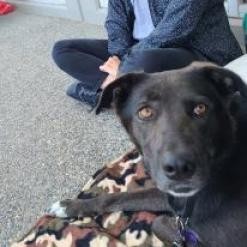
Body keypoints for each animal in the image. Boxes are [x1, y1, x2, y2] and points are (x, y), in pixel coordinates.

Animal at [49, 62, 247, 246]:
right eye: (145, 112)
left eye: (200, 108)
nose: (179, 169)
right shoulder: (170, 194)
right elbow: (124, 197)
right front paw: (70, 206)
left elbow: (158, 222)